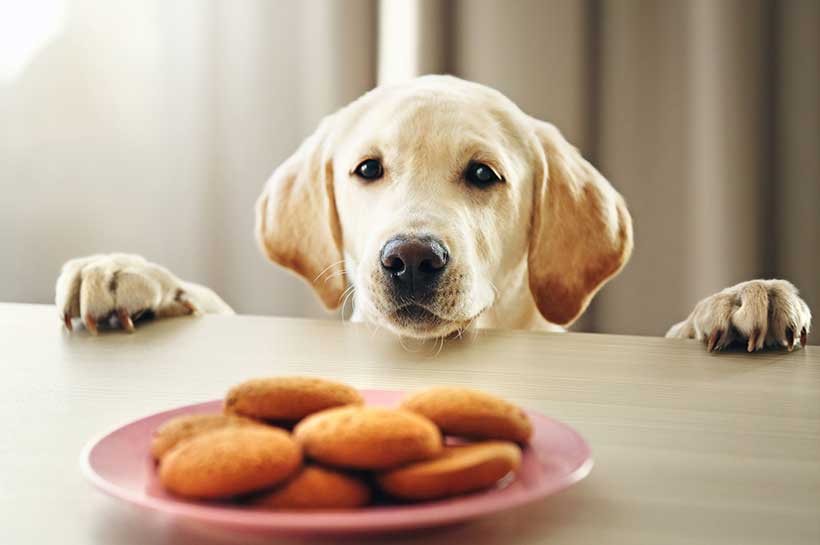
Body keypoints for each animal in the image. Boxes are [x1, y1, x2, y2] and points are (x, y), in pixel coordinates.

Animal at [54, 74, 812, 350]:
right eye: (368, 169)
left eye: (483, 175)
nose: (411, 258)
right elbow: (207, 301)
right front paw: (129, 274)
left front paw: (741, 299)